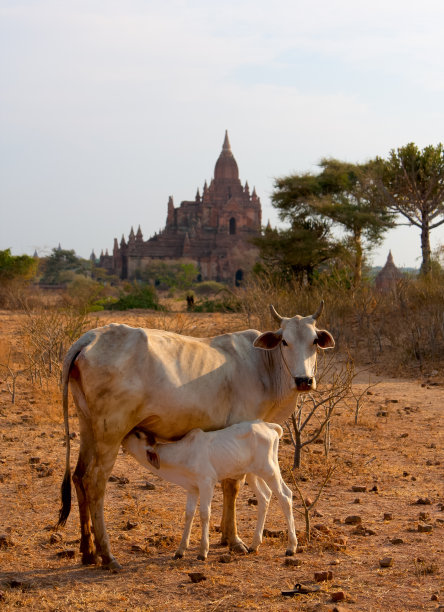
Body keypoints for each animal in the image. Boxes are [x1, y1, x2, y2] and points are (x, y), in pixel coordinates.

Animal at [121, 420, 298, 560]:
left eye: (138, 435)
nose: (124, 435)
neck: (183, 453)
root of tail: (268, 426)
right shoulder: (192, 488)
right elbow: (189, 514)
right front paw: (180, 550)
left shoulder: (207, 483)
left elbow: (204, 514)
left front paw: (202, 552)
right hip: (252, 474)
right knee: (264, 496)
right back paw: (254, 544)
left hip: (269, 470)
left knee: (285, 496)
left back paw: (291, 547)